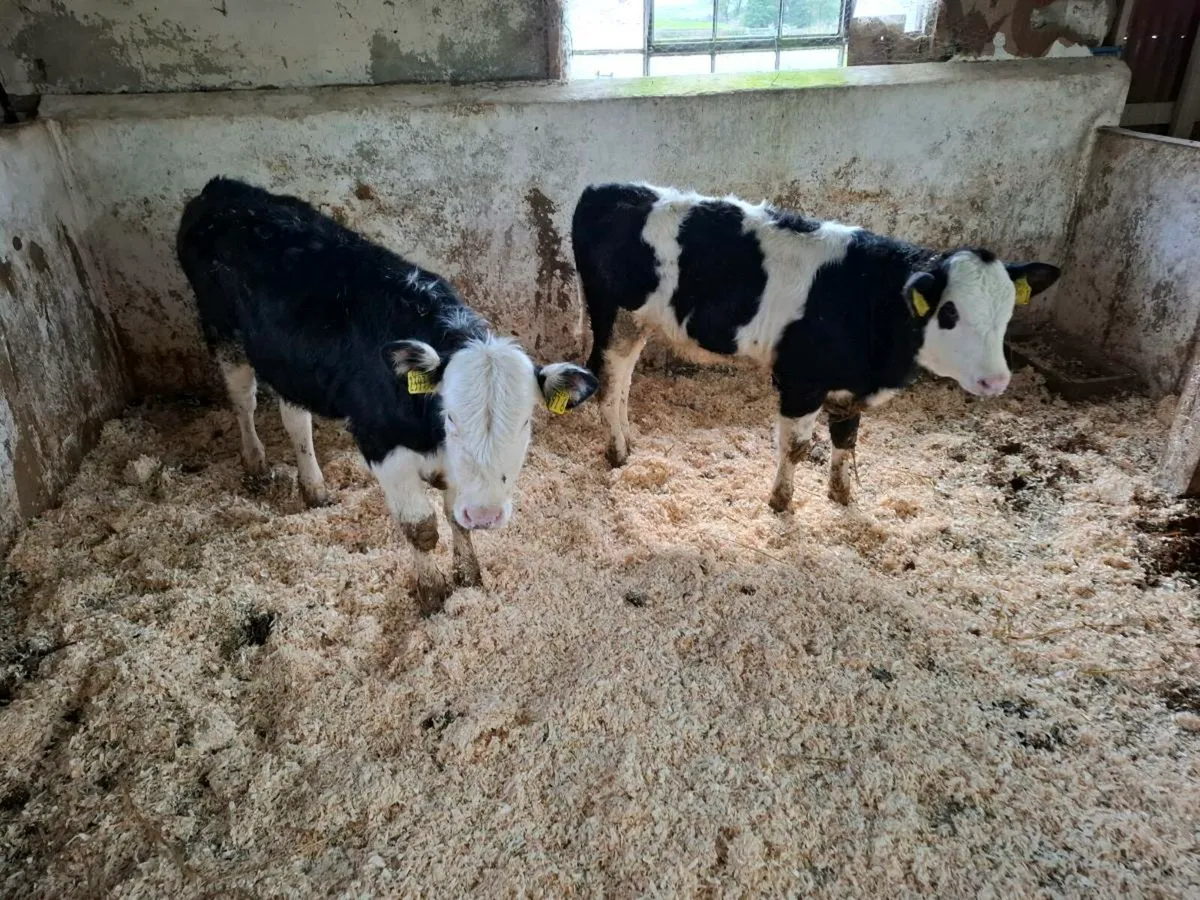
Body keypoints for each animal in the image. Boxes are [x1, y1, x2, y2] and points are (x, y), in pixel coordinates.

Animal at [177, 177, 598, 614]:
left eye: (526, 422)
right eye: (450, 417)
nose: (485, 515)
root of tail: (222, 189)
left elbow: (453, 518)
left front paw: (469, 577)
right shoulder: (381, 444)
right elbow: (421, 530)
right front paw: (431, 594)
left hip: (289, 362)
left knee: (296, 420)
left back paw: (314, 489)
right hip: (221, 330)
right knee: (244, 400)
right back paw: (256, 465)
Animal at [572, 183, 1061, 511]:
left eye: (1006, 313)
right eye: (950, 313)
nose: (996, 381)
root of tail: (608, 189)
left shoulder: (848, 385)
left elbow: (847, 439)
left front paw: (841, 495)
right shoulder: (801, 380)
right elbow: (797, 449)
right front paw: (781, 502)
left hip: (637, 324)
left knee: (623, 381)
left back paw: (628, 442)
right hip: (614, 317)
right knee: (609, 383)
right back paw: (617, 452)